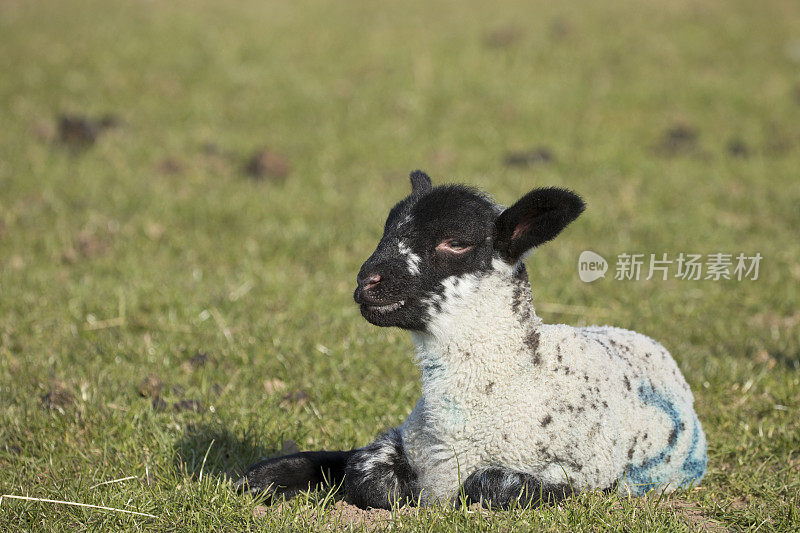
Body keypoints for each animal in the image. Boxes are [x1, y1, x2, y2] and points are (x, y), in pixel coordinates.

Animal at [238, 170, 708, 508]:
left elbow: (490, 485)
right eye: (385, 229)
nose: (366, 282)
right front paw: (259, 479)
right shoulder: (403, 437)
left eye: (457, 242)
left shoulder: (582, 473)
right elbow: (362, 469)